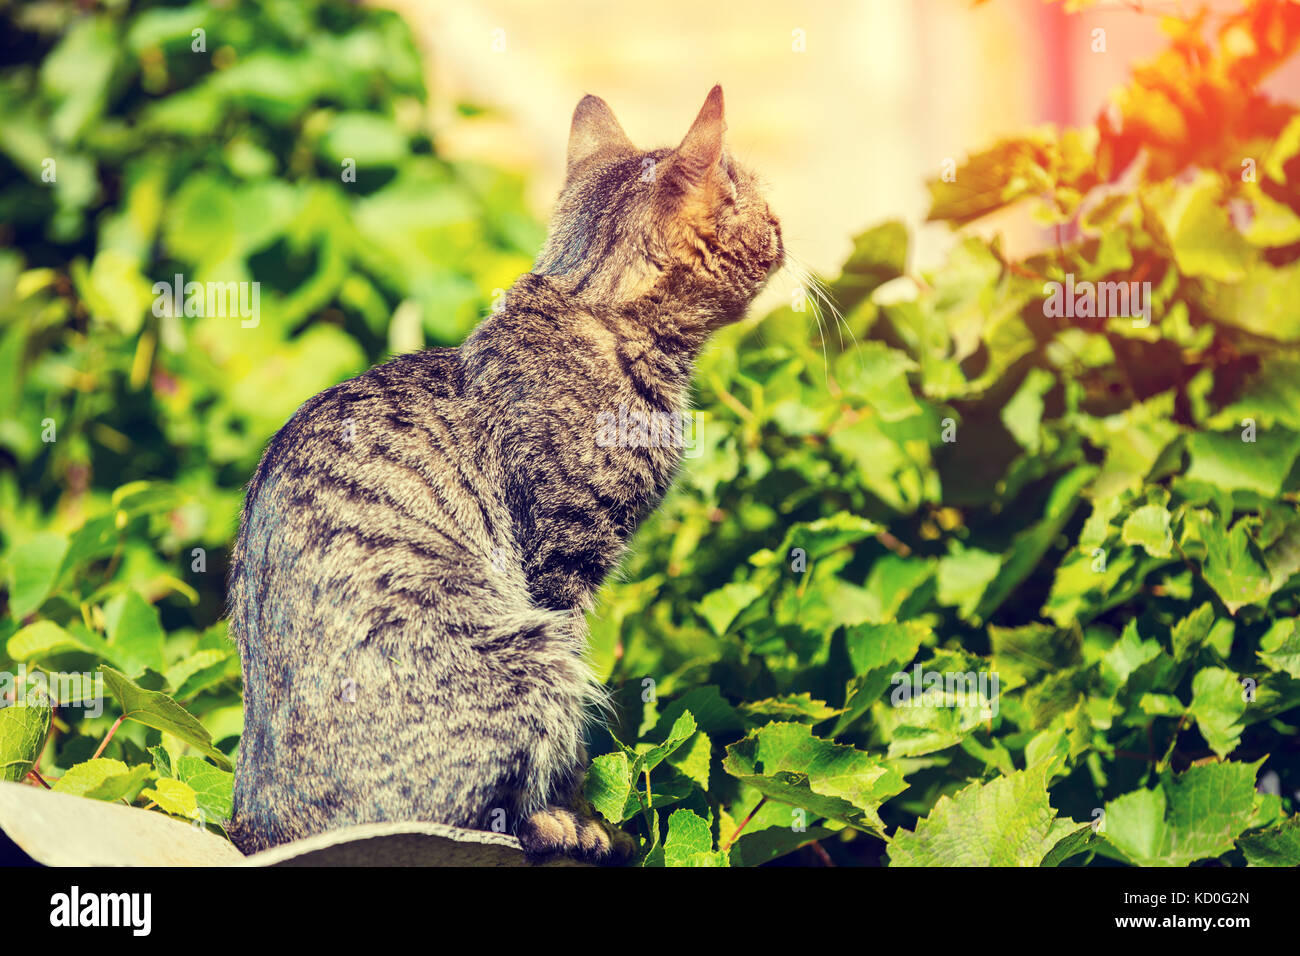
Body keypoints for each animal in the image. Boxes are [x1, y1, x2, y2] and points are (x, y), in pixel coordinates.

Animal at [226, 85, 780, 863]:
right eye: (764, 209)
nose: (785, 228)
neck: (591, 308)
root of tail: (257, 828)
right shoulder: (563, 565)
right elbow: (571, 745)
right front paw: (575, 812)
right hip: (526, 650)